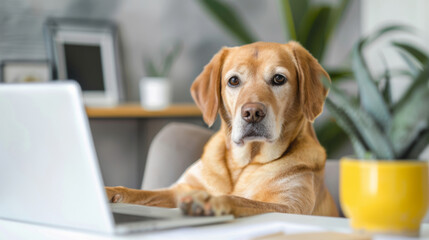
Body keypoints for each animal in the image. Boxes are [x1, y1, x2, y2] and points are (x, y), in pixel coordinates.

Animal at [106, 40, 338, 218]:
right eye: (233, 81)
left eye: (279, 78)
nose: (252, 113)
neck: (242, 164)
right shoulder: (179, 190)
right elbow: (139, 192)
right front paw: (108, 190)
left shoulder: (289, 207)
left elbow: (241, 199)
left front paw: (212, 201)